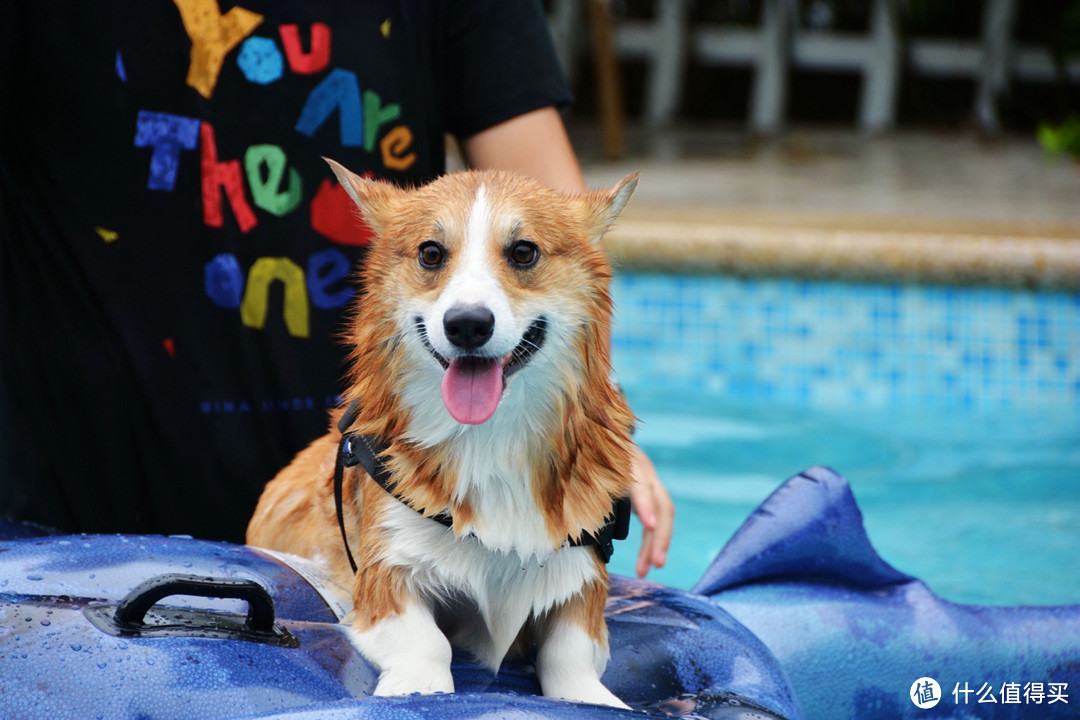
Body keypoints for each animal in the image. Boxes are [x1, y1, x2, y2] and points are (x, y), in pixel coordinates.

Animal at [247, 158, 635, 708]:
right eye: (431, 253)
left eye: (524, 252)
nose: (467, 324)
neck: (490, 438)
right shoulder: (386, 567)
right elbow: (425, 640)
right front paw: (418, 685)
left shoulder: (581, 570)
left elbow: (571, 652)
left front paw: (590, 696)